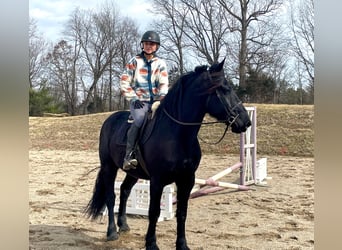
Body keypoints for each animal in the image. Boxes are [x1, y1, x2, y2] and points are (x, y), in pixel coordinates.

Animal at [85, 58, 251, 248]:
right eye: (224, 89)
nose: (246, 122)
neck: (178, 135)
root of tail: (109, 120)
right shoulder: (157, 181)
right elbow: (154, 212)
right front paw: (151, 244)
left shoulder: (187, 180)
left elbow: (182, 213)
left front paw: (182, 244)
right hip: (109, 167)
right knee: (111, 196)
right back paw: (112, 232)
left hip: (133, 172)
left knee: (125, 191)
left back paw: (124, 225)